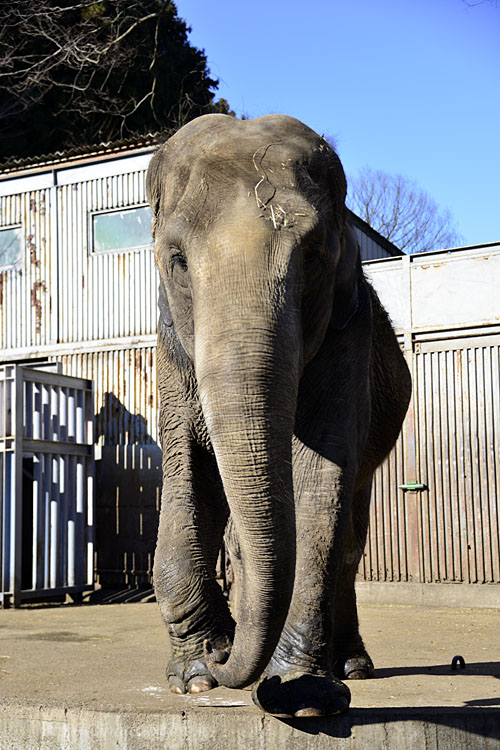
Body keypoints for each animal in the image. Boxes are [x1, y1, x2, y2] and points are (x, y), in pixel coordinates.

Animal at [146, 114, 412, 720]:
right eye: (177, 260)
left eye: (313, 255)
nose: (223, 658)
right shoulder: (171, 346)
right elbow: (189, 468)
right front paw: (196, 678)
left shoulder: (348, 335)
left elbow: (320, 483)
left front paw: (300, 694)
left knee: (352, 533)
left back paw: (353, 667)